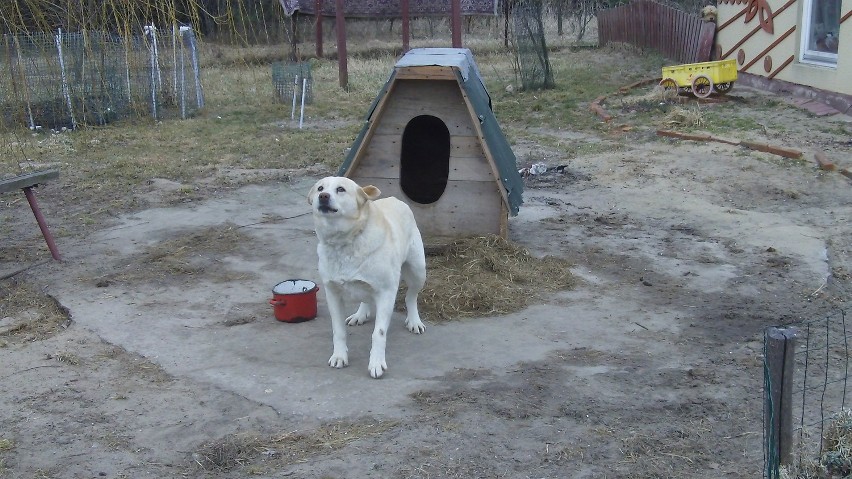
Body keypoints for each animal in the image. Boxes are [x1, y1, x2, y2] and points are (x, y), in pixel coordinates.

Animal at [306, 176, 426, 378]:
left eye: (340, 189)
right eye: (320, 188)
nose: (323, 197)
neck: (345, 241)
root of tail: (395, 199)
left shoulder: (386, 293)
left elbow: (379, 333)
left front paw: (376, 363)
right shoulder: (332, 294)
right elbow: (338, 331)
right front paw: (339, 356)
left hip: (418, 270)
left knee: (411, 296)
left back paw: (414, 321)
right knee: (366, 297)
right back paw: (360, 314)